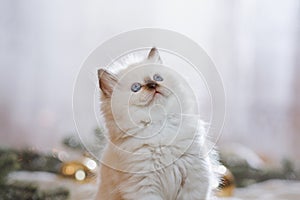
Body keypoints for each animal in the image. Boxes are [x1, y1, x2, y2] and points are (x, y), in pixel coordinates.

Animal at [97, 48, 219, 200]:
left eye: (157, 78)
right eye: (136, 88)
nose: (153, 85)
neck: (160, 127)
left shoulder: (194, 179)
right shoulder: (144, 187)